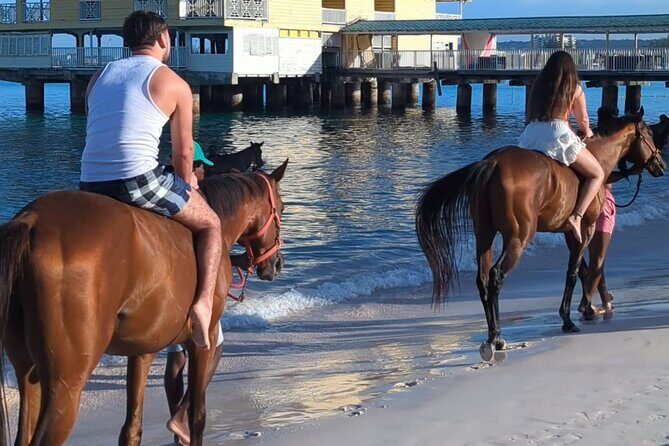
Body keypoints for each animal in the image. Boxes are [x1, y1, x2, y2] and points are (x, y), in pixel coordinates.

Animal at [0, 160, 288, 446]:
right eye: (283, 208)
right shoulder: (201, 341)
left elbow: (131, 428)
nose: (277, 262)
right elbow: (197, 416)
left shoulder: (144, 350)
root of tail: (32, 221)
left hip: (30, 374)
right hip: (66, 385)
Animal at [415, 111, 664, 362]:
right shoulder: (586, 229)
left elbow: (582, 270)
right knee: (496, 276)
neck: (598, 159)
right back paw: (495, 337)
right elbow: (574, 273)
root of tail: (492, 163)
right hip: (518, 238)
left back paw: (494, 338)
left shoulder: (570, 234)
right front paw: (571, 316)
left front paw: (587, 309)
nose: (660, 164)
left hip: (484, 235)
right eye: (649, 133)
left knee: (483, 279)